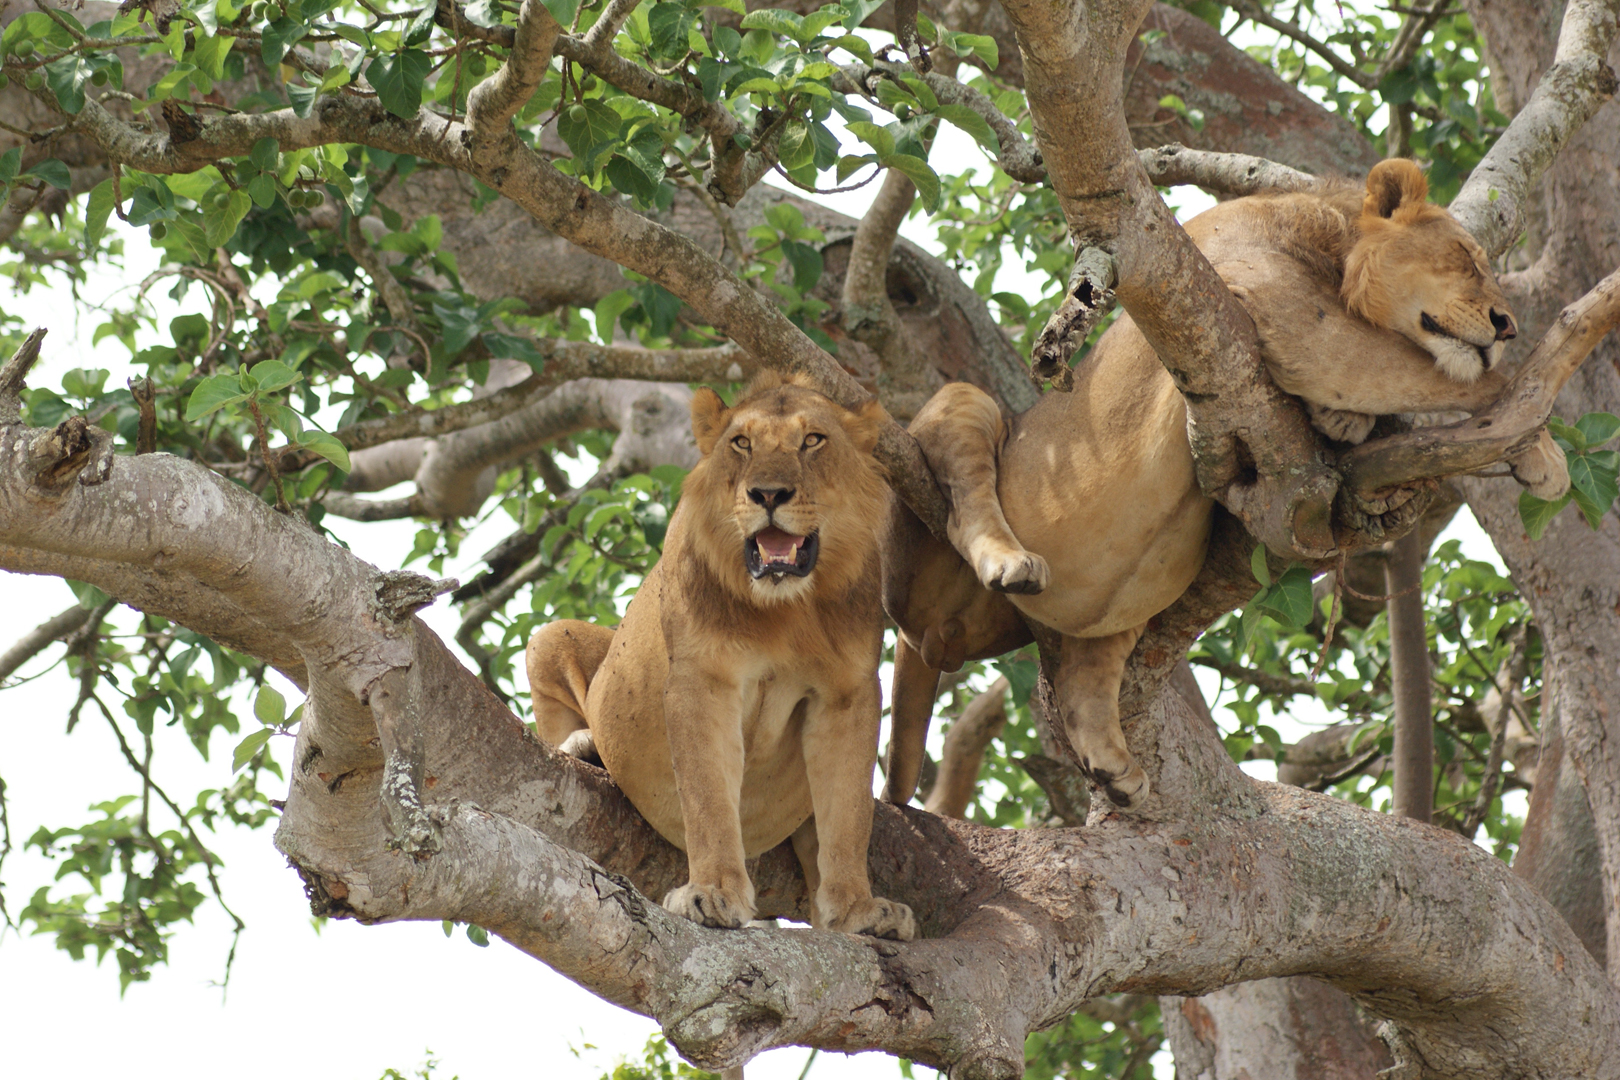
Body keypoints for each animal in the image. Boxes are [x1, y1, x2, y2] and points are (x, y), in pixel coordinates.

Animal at [528, 369, 913, 939]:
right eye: (742, 443)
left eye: (812, 440)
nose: (768, 492)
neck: (786, 611)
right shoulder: (703, 679)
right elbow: (707, 795)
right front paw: (712, 894)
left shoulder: (848, 694)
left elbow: (847, 816)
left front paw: (859, 910)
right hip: (549, 637)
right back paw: (583, 744)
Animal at [881, 160, 1574, 816]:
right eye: (1465, 258)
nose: (1508, 327)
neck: (1331, 243)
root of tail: (930, 642)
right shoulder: (1274, 303)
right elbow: (1456, 378)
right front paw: (1543, 449)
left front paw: (1342, 420)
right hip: (964, 412)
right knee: (964, 502)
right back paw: (1010, 562)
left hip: (1116, 608)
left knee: (1083, 673)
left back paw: (1114, 770)